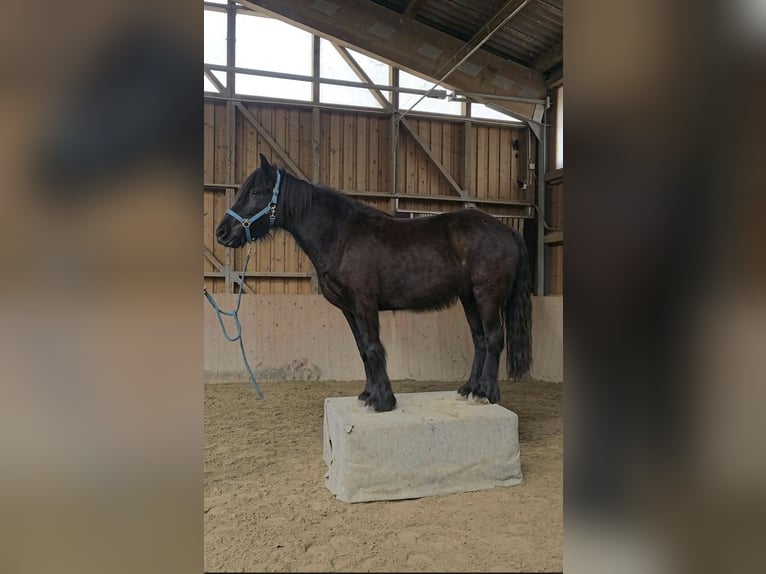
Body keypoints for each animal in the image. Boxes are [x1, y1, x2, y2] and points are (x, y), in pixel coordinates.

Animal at [216, 154, 532, 412]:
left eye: (255, 192)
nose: (221, 232)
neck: (341, 236)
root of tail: (506, 230)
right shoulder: (349, 309)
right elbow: (362, 351)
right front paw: (368, 395)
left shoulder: (364, 304)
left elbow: (373, 347)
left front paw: (382, 401)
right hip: (469, 299)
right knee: (479, 340)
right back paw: (468, 389)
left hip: (487, 296)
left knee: (493, 338)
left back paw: (484, 394)